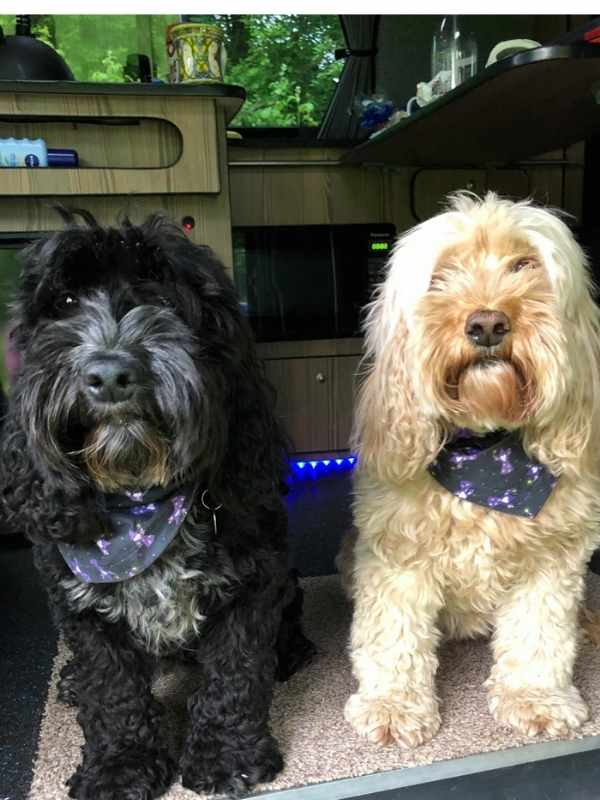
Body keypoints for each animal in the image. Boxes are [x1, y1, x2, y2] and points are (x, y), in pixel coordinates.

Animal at [0, 212, 316, 800]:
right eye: (67, 301)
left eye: (165, 300)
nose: (109, 374)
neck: (139, 497)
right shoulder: (79, 609)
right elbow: (112, 690)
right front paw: (120, 765)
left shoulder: (252, 584)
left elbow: (235, 674)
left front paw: (226, 755)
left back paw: (289, 652)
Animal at [342, 194, 600, 752]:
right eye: (441, 276)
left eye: (525, 264)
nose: (487, 324)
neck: (486, 455)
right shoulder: (397, 554)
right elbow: (393, 635)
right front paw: (392, 705)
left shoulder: (551, 561)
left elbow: (540, 633)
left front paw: (536, 698)